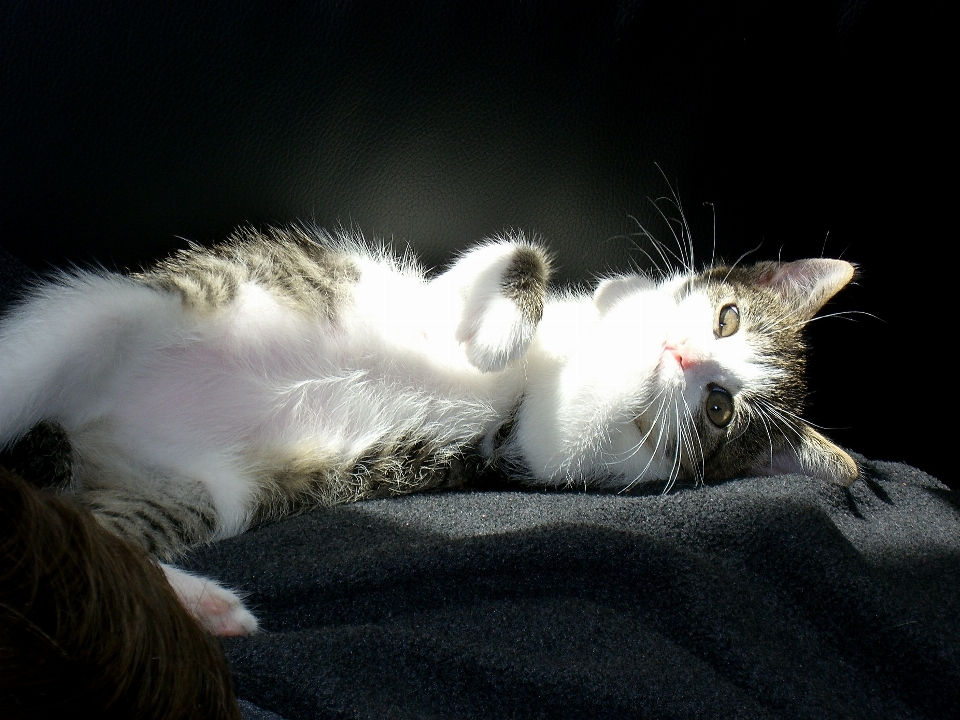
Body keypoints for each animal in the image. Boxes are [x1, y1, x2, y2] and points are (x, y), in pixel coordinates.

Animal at [0, 226, 856, 636]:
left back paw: (202, 605)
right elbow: (524, 258)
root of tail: (89, 431)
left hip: (198, 493)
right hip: (98, 319)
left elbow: (576, 428)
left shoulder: (532, 446)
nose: (683, 356)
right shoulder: (470, 287)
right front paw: (505, 331)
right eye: (728, 316)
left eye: (720, 410)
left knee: (86, 543)